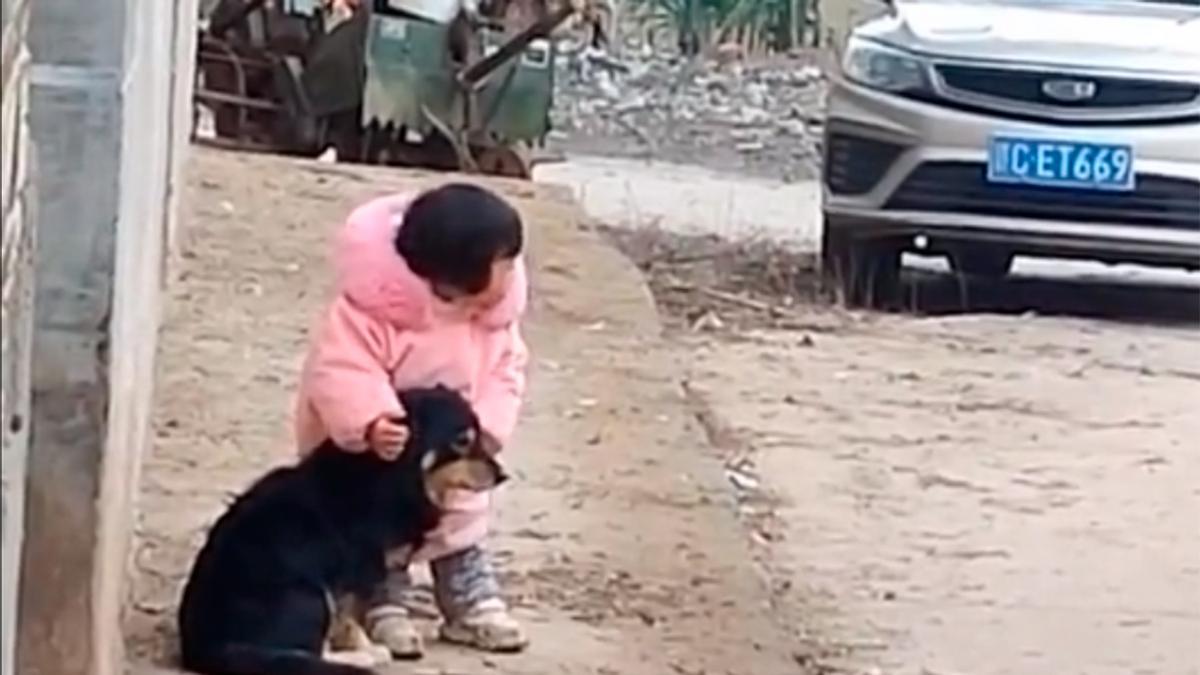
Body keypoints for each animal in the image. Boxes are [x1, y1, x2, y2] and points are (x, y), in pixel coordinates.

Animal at [177, 384, 506, 672]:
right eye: (462, 440)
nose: (503, 475)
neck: (392, 473)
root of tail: (206, 646)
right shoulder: (354, 572)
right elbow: (349, 620)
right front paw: (365, 648)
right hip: (309, 595)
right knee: (305, 653)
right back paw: (360, 659)